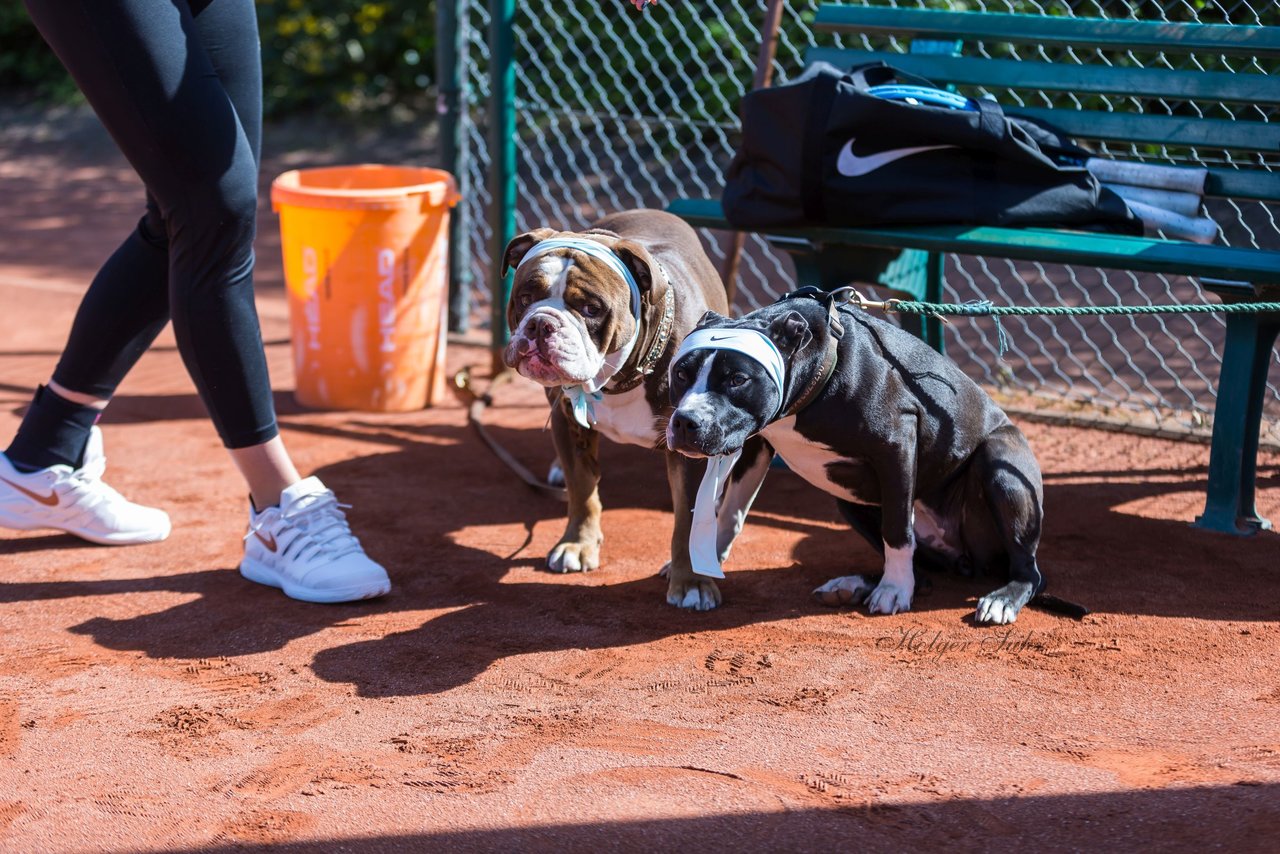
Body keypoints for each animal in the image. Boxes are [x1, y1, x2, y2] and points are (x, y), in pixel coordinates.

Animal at [665, 294, 1044, 627]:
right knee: (924, 576)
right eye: (681, 374)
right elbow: (731, 510)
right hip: (849, 498)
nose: (685, 422)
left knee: (1029, 572)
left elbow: (898, 530)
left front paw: (894, 589)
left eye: (737, 379)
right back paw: (854, 585)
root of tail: (966, 561)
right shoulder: (757, 443)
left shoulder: (896, 442)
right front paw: (701, 561)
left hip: (1001, 465)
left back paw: (1001, 599)